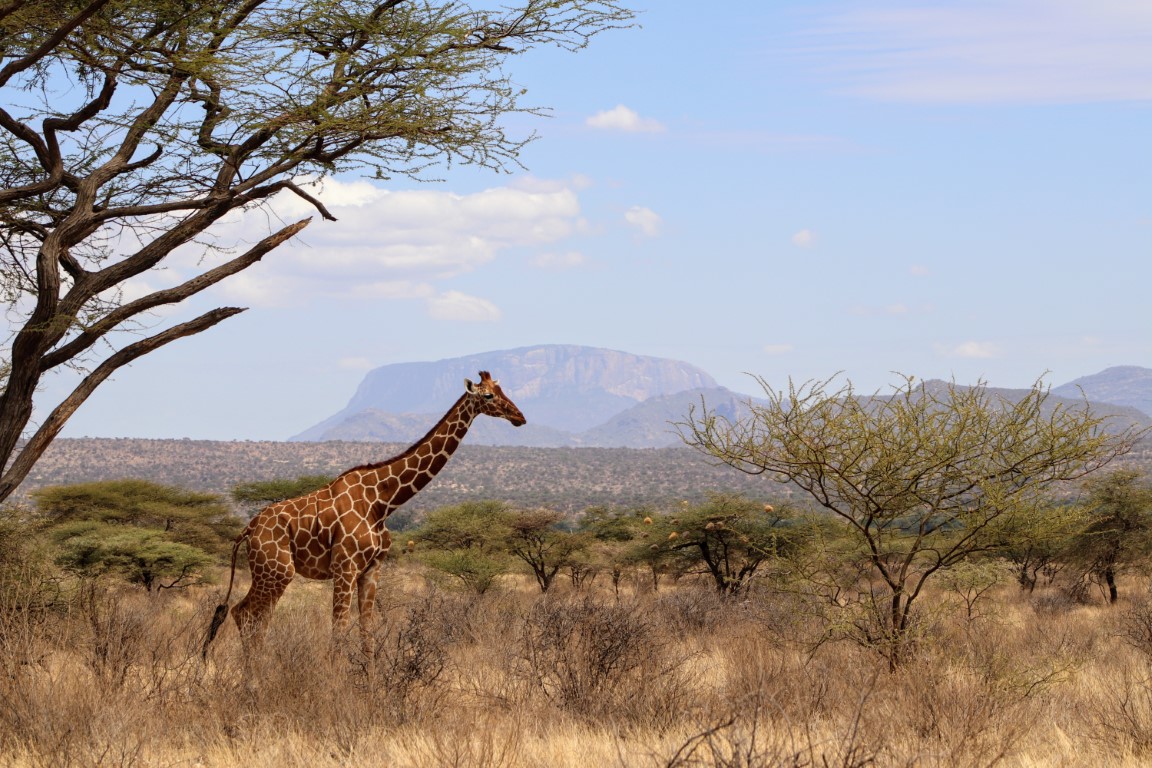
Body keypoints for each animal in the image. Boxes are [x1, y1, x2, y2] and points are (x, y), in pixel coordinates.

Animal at [202, 371, 525, 657]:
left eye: (502, 389)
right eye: (488, 395)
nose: (519, 417)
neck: (382, 501)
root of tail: (247, 529)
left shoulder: (372, 569)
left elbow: (367, 632)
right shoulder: (345, 567)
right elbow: (339, 631)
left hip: (269, 573)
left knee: (248, 615)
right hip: (277, 571)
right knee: (247, 615)